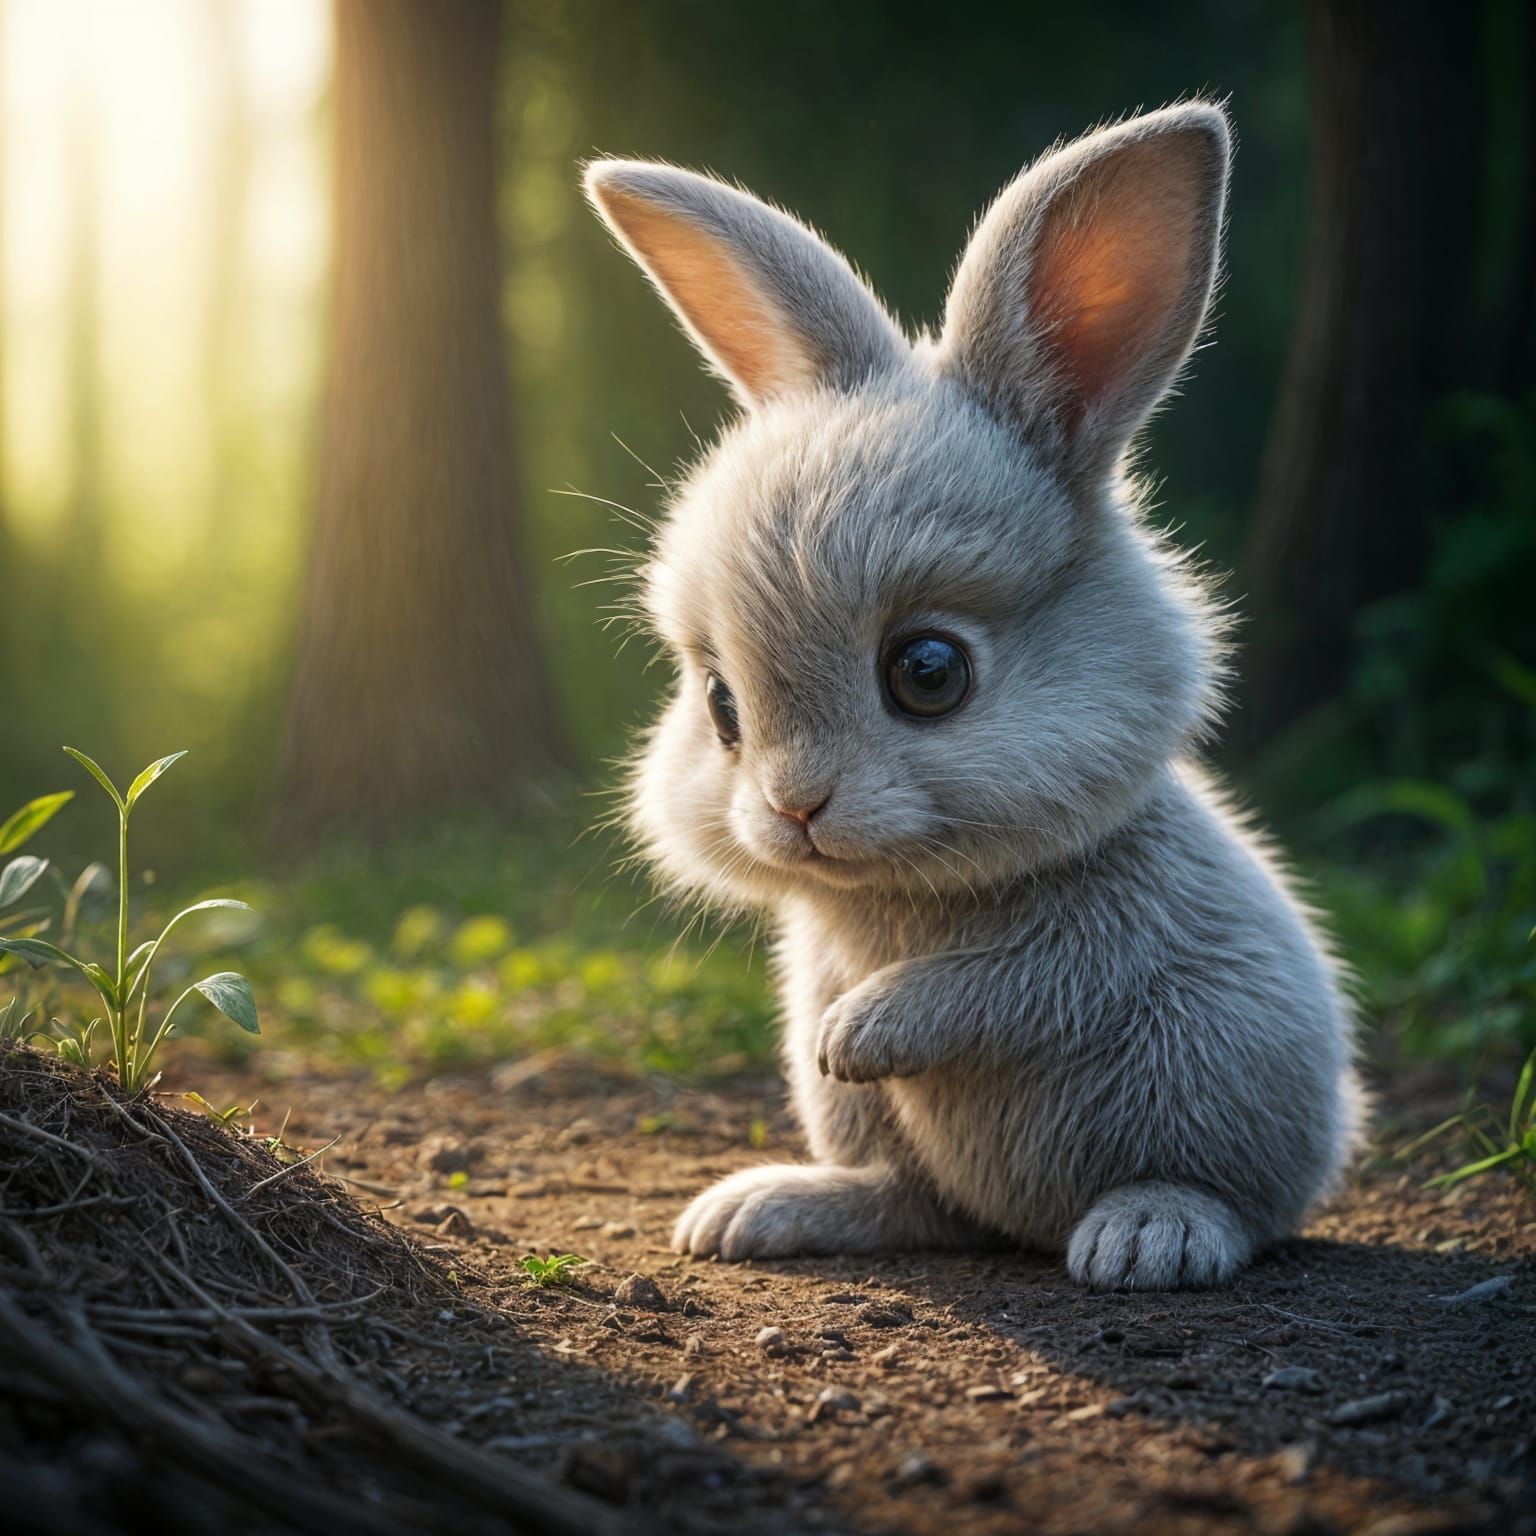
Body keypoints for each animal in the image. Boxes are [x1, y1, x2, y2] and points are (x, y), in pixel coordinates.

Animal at [583, 102, 1363, 1290]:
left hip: (1228, 1097)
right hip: (896, 1152)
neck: (900, 894)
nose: (794, 809)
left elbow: (998, 984)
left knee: (1235, 1203)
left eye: (929, 673)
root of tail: (1024, 1228)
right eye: (719, 704)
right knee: (923, 1207)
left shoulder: (1100, 933)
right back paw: (762, 1210)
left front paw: (855, 1035)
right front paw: (837, 1036)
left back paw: (1148, 1235)